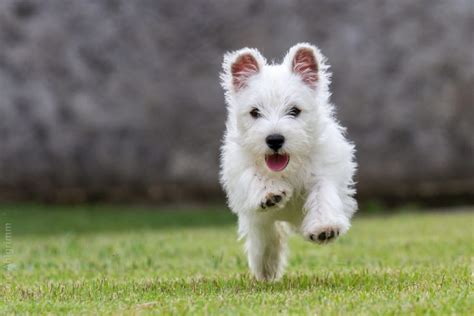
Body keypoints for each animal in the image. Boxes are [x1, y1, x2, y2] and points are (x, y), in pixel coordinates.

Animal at [218, 42, 356, 282]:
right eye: (255, 112)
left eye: (294, 110)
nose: (274, 139)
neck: (290, 166)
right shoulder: (240, 168)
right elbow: (253, 175)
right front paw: (270, 192)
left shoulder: (324, 170)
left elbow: (323, 194)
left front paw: (324, 227)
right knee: (264, 234)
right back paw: (266, 266)